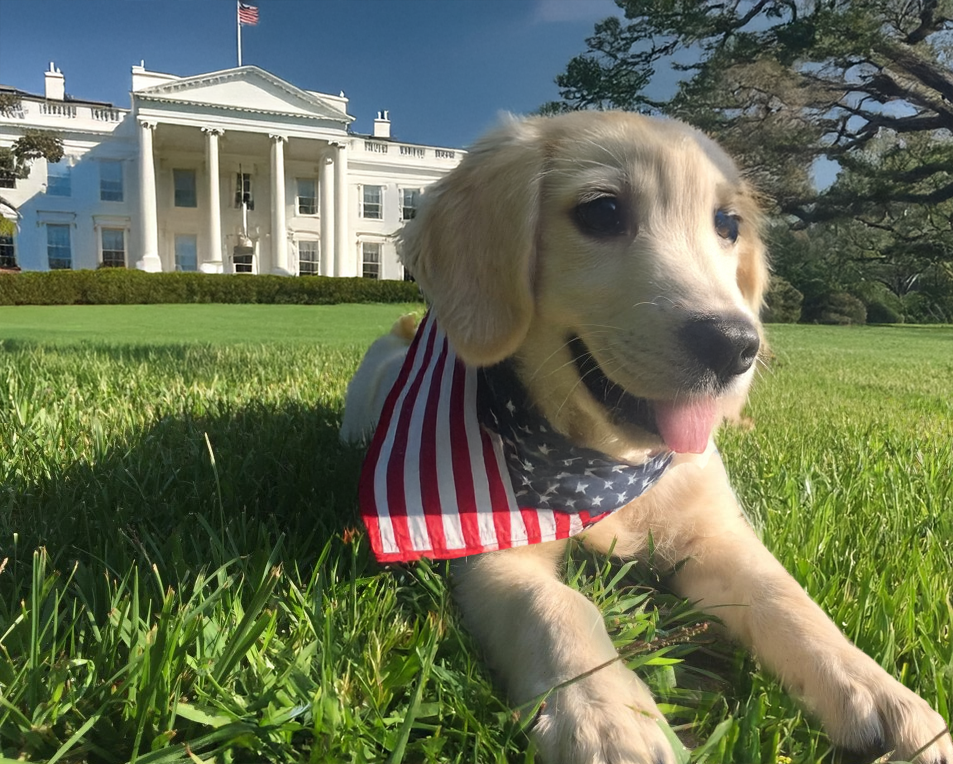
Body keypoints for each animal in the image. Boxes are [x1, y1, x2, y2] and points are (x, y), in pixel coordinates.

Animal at [346, 112, 948, 764]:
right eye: (602, 212)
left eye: (728, 225)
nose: (738, 347)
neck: (606, 464)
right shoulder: (493, 553)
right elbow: (557, 604)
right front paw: (608, 717)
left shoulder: (716, 533)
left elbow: (785, 596)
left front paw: (882, 693)